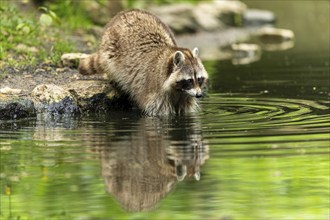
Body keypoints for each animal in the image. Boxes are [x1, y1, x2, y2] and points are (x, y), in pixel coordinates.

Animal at [78, 9, 208, 116]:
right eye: (189, 80)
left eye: (199, 79)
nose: (199, 95)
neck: (178, 91)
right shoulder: (154, 92)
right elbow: (158, 113)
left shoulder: (185, 96)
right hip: (109, 51)